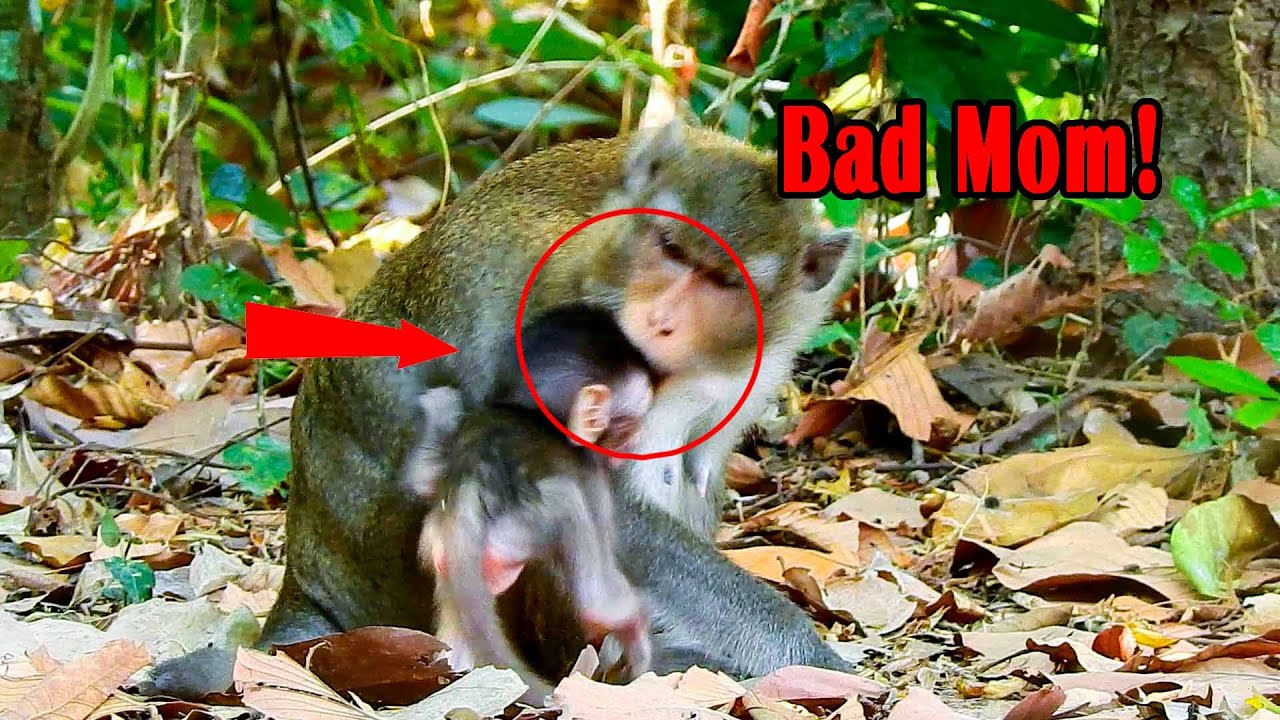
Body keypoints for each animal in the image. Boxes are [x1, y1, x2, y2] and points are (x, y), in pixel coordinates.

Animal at [405, 305, 656, 700]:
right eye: (629, 428)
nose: (633, 448)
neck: (529, 411)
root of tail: (468, 487)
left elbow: (422, 476)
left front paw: (440, 405)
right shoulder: (591, 475)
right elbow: (597, 598)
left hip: (441, 541)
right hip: (517, 533)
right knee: (569, 512)